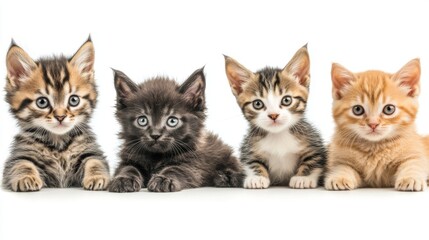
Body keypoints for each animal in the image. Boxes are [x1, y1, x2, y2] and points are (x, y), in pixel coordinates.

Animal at [2, 37, 108, 191]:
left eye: (74, 100)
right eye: (42, 102)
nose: (60, 117)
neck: (59, 144)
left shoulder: (91, 151)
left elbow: (95, 161)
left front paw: (96, 176)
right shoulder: (18, 156)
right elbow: (21, 164)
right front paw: (26, 177)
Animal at [108, 67, 242, 193]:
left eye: (172, 121)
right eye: (142, 120)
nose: (155, 135)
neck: (156, 157)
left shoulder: (194, 163)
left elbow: (176, 169)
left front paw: (164, 179)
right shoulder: (128, 158)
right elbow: (128, 168)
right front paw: (123, 179)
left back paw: (226, 177)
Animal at [224, 44, 324, 188]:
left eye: (286, 100)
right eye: (257, 104)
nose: (273, 115)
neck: (278, 135)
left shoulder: (313, 143)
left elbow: (313, 160)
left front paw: (302, 178)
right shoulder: (249, 147)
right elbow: (251, 161)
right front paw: (257, 177)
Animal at [324, 58, 428, 191]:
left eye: (389, 109)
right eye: (357, 109)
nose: (373, 124)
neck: (374, 147)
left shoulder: (415, 153)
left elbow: (413, 164)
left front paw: (410, 178)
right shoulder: (340, 158)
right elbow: (342, 167)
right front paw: (340, 177)